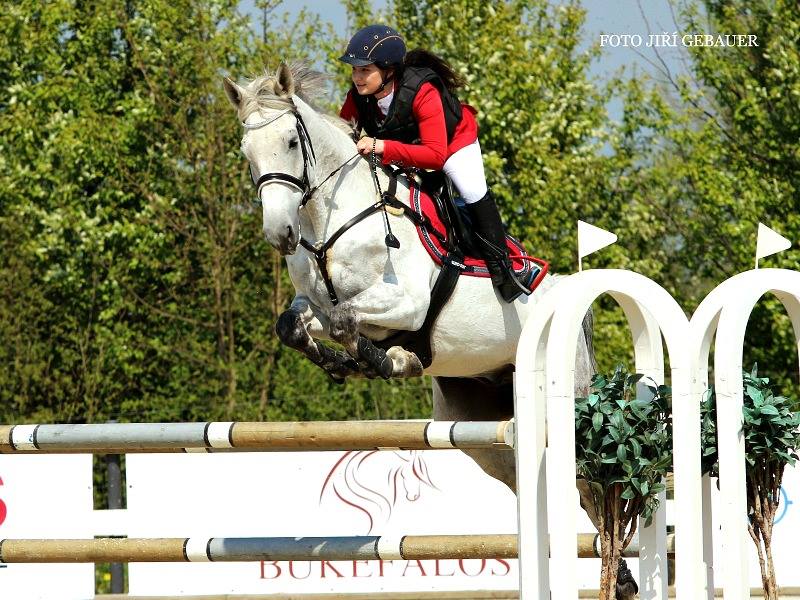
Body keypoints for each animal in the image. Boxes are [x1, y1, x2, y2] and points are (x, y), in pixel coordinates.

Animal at [224, 63, 636, 599]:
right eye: (246, 152)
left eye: (292, 141)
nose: (280, 235)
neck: (331, 221)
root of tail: (566, 300)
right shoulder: (314, 303)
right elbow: (295, 324)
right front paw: (350, 361)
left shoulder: (407, 302)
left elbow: (346, 320)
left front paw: (384, 359)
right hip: (484, 429)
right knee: (541, 483)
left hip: (564, 406)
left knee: (592, 485)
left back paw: (620, 572)